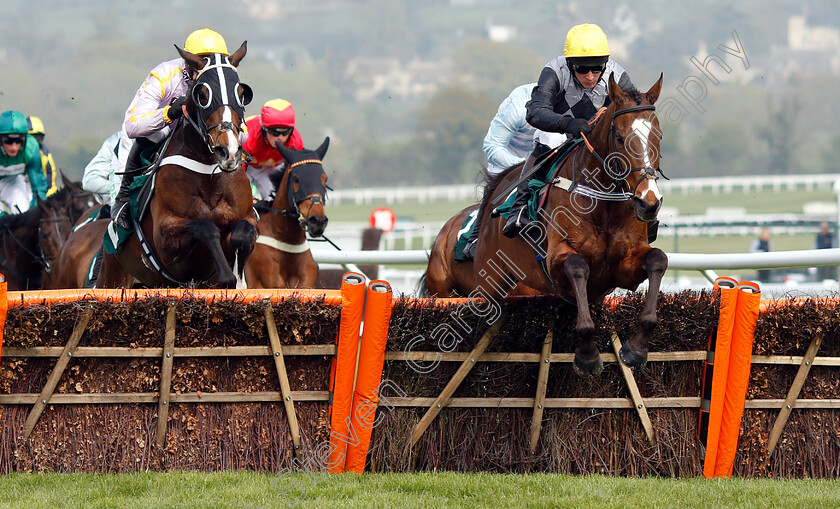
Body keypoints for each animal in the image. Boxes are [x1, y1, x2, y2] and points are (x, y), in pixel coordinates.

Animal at [98, 41, 258, 288]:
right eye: (202, 94)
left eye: (242, 94)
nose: (228, 151)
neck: (208, 174)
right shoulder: (165, 238)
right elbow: (205, 226)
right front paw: (227, 275)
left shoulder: (247, 217)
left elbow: (244, 231)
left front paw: (238, 278)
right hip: (112, 277)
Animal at [430, 74, 668, 378]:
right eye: (619, 137)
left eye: (658, 136)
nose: (649, 201)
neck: (604, 206)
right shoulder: (556, 261)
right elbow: (578, 267)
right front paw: (587, 356)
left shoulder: (623, 268)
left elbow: (658, 260)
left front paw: (636, 349)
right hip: (483, 285)